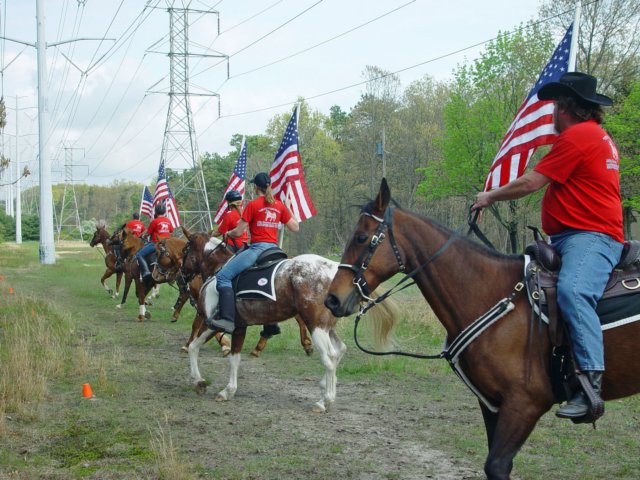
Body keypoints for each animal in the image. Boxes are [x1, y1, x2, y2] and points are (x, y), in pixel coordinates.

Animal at [182, 232, 398, 412]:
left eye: (185, 250)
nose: (181, 276)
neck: (218, 270)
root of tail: (335, 270)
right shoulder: (238, 327)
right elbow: (227, 357)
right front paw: (215, 387)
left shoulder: (213, 323)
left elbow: (198, 348)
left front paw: (208, 384)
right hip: (326, 327)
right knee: (340, 350)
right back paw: (326, 389)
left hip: (316, 326)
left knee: (329, 357)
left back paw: (324, 401)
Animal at [324, 178, 640, 478]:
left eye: (362, 237)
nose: (332, 299)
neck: (492, 295)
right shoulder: (492, 405)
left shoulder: (524, 405)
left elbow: (496, 466)